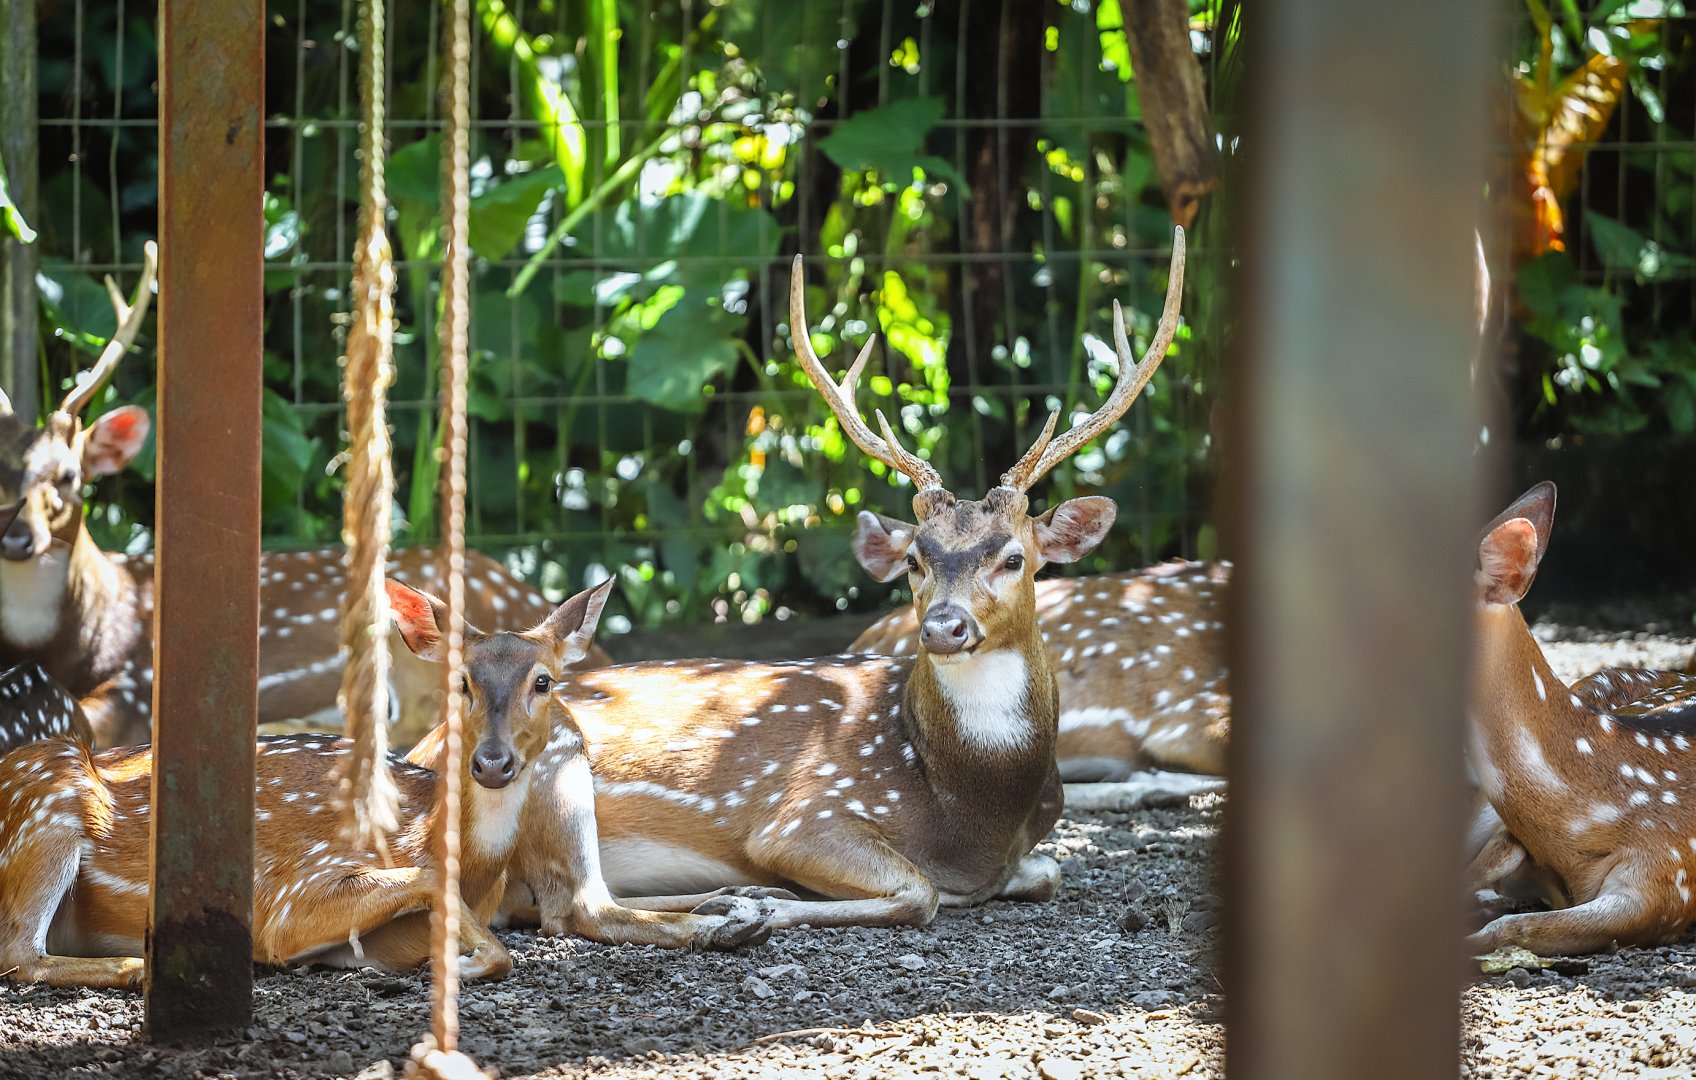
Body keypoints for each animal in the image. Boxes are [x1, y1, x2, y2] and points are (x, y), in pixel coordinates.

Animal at [0, 576, 765, 990]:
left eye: (543, 681)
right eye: (461, 682)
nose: (492, 762)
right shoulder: (288, 897)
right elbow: (447, 901)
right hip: (49, 806)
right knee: (18, 951)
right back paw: (136, 968)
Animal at [408, 230, 1187, 931]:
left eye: (1015, 557)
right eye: (916, 558)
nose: (945, 626)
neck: (974, 808)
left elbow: (1046, 871)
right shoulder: (803, 813)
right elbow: (920, 892)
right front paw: (770, 900)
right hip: (552, 759)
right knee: (574, 907)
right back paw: (734, 909)